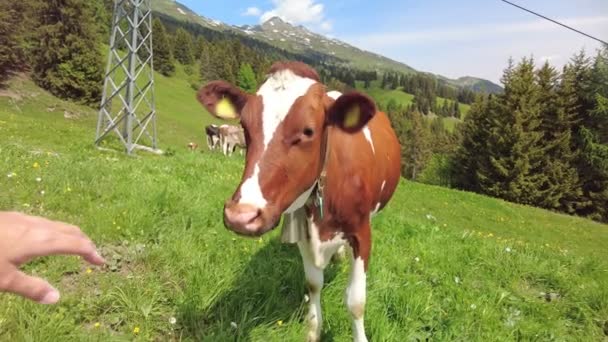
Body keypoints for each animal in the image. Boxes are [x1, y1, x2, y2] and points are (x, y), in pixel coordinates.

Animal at [197, 61, 402, 342]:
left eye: (308, 131)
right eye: (245, 127)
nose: (240, 216)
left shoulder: (362, 233)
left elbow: (356, 301)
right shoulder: (304, 232)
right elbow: (313, 284)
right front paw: (312, 330)